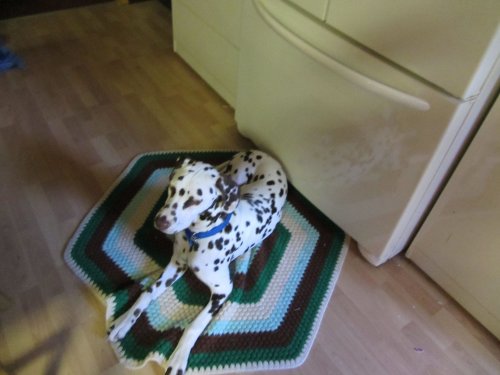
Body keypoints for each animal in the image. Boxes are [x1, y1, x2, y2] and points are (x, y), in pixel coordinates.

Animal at [109, 151, 290, 375]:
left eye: (194, 200)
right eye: (172, 188)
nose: (160, 221)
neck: (198, 235)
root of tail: (263, 154)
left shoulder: (222, 290)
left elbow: (194, 326)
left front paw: (179, 357)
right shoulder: (176, 265)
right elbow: (147, 292)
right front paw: (125, 320)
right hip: (237, 173)